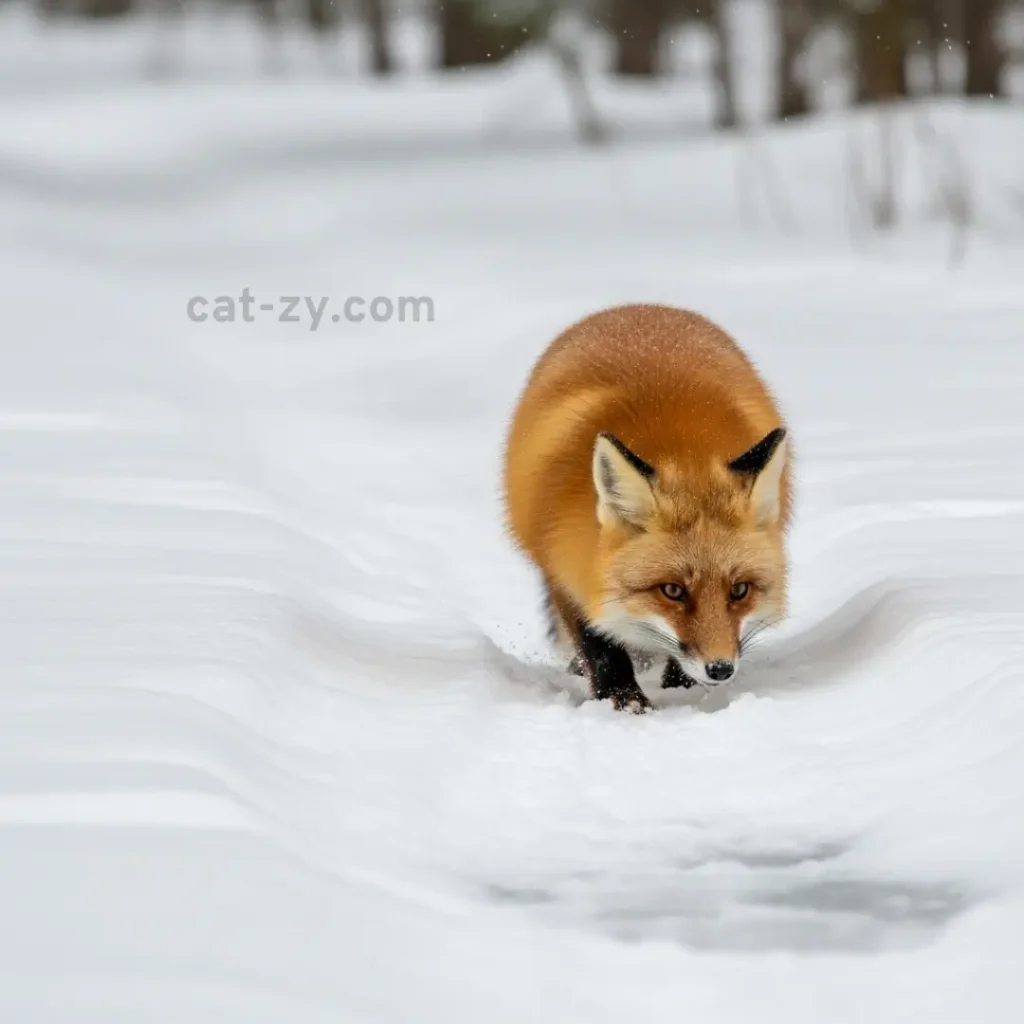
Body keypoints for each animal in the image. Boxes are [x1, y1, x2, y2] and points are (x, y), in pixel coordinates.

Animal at [502, 303, 791, 713]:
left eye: (740, 590)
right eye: (672, 591)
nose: (720, 669)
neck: (681, 450)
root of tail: (638, 308)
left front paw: (680, 689)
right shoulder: (565, 564)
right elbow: (599, 645)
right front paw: (624, 702)